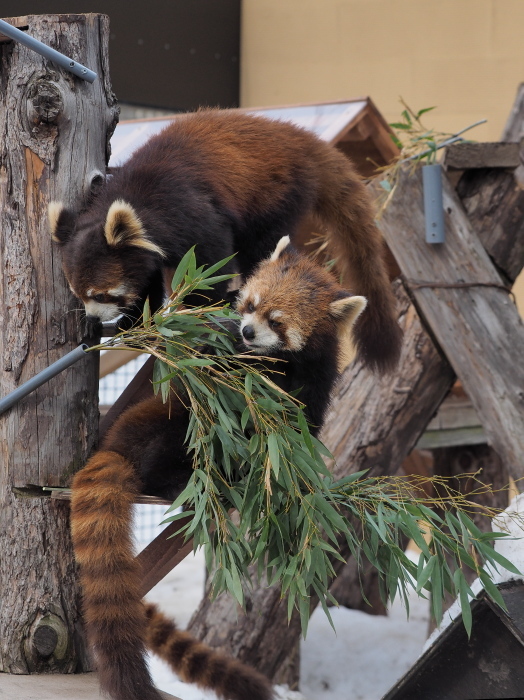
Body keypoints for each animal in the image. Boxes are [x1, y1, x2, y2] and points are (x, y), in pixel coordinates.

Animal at [49, 108, 402, 372]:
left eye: (102, 294)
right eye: (77, 294)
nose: (93, 317)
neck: (138, 193)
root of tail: (296, 136)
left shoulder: (191, 213)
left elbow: (210, 261)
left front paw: (196, 308)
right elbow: (146, 280)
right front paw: (134, 321)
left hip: (275, 194)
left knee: (260, 246)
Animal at [69, 239, 368, 700]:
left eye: (276, 321)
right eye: (250, 305)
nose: (246, 332)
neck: (273, 364)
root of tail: (117, 440)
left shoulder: (313, 386)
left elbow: (299, 429)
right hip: (177, 424)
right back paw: (192, 483)